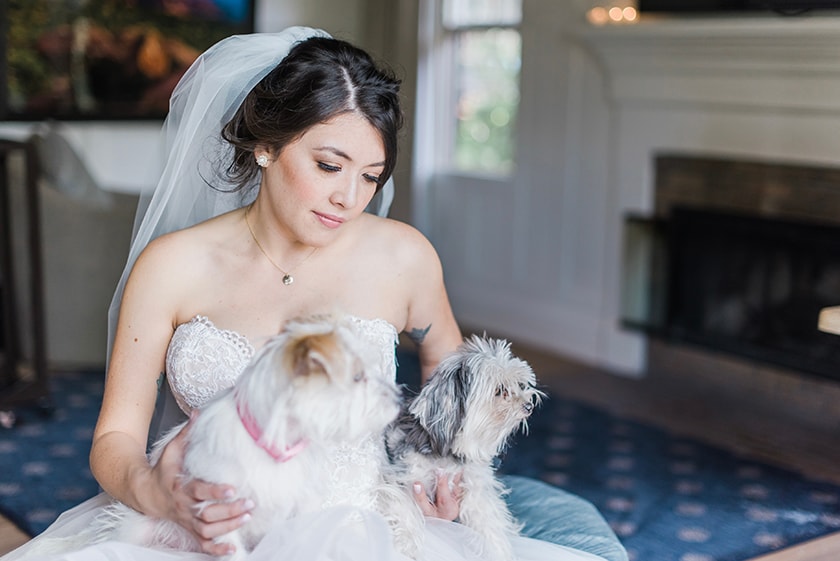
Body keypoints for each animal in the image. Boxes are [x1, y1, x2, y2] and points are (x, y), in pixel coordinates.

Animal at [92, 316, 400, 560]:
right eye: (358, 377)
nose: (398, 399)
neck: (273, 446)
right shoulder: (221, 512)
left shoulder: (300, 508)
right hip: (136, 529)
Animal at [380, 334, 544, 556]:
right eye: (499, 391)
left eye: (520, 385)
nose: (529, 405)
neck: (445, 453)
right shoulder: (401, 479)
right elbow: (404, 509)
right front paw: (407, 544)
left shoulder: (475, 490)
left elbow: (490, 525)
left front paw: (500, 552)